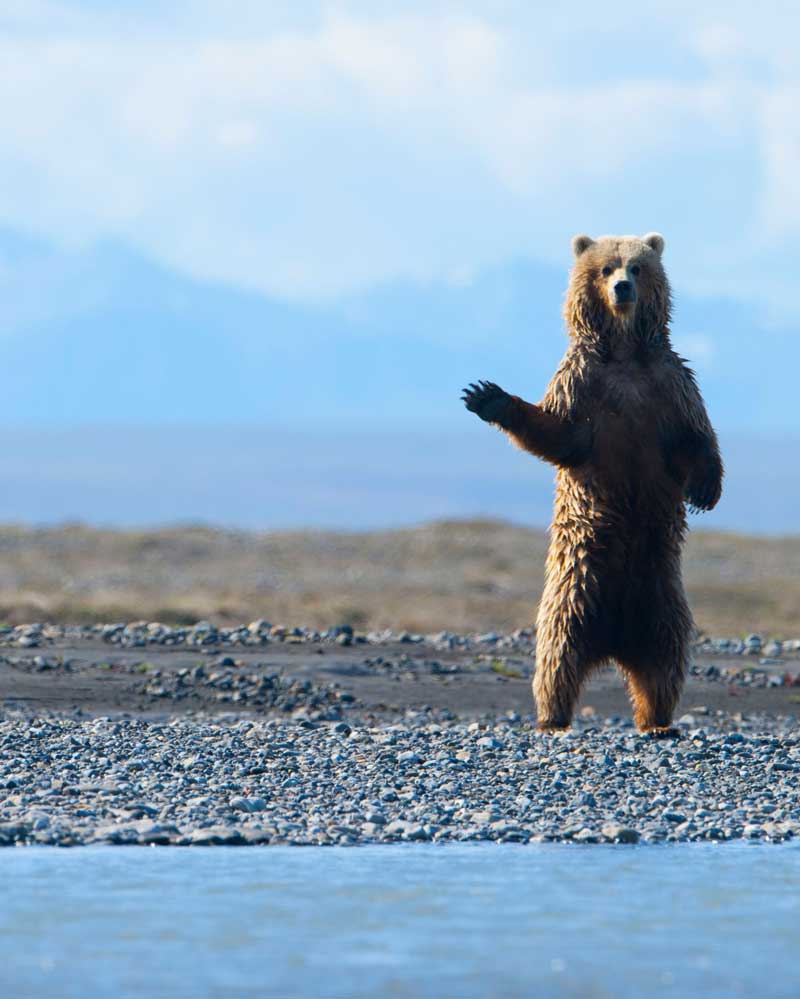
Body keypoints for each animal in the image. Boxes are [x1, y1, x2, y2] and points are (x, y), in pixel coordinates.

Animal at [460, 234, 720, 736]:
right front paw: (487, 397)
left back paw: (659, 719)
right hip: (576, 589)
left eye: (637, 267)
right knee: (556, 658)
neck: (624, 354)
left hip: (661, 597)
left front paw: (705, 491)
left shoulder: (669, 385)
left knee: (665, 661)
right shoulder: (583, 382)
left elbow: (696, 436)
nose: (622, 288)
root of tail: (615, 642)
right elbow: (560, 433)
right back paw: (551, 717)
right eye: (605, 268)